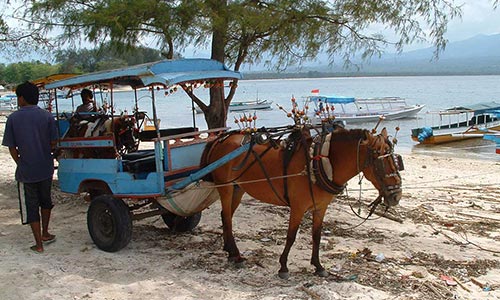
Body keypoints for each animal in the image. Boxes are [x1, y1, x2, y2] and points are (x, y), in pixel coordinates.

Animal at [199, 124, 402, 278]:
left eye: (395, 158)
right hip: (225, 187)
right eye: (379, 159)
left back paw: (229, 251)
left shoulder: (320, 208)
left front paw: (318, 266)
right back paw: (236, 255)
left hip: (238, 188)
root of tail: (220, 139)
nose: (396, 196)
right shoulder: (297, 207)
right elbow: (291, 236)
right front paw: (283, 267)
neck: (319, 164)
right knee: (226, 217)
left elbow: (316, 235)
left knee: (226, 216)